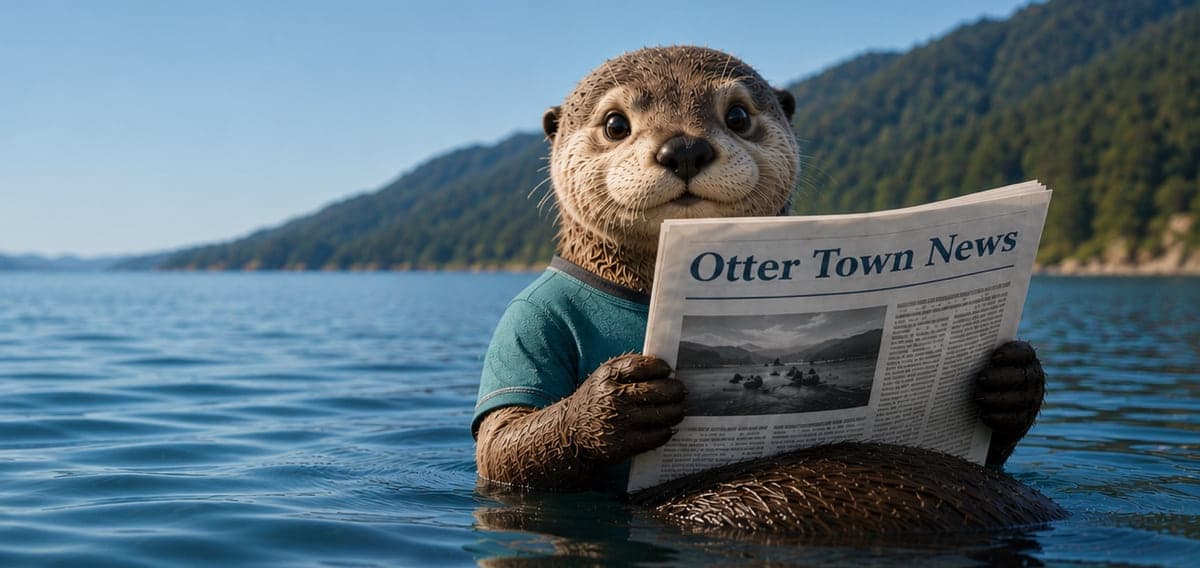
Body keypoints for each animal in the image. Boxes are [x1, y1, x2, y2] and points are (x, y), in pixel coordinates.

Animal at [473, 46, 1064, 535]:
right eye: (615, 123)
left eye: (737, 116)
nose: (683, 147)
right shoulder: (525, 320)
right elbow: (502, 444)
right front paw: (617, 401)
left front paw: (1012, 381)